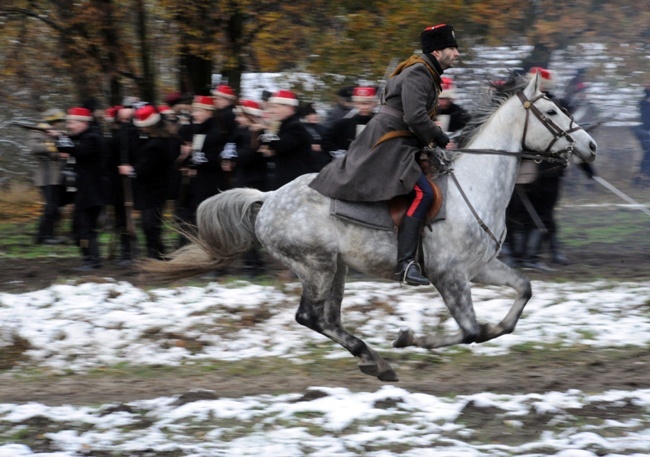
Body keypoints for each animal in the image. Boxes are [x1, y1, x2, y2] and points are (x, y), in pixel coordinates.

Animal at [142, 75, 592, 382]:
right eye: (552, 112)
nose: (590, 147)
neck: (476, 185)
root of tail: (268, 198)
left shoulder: (480, 268)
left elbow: (518, 299)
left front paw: (495, 326)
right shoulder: (449, 276)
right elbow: (470, 331)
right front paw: (412, 340)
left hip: (336, 269)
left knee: (326, 319)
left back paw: (372, 360)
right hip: (317, 266)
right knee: (311, 317)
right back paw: (375, 359)